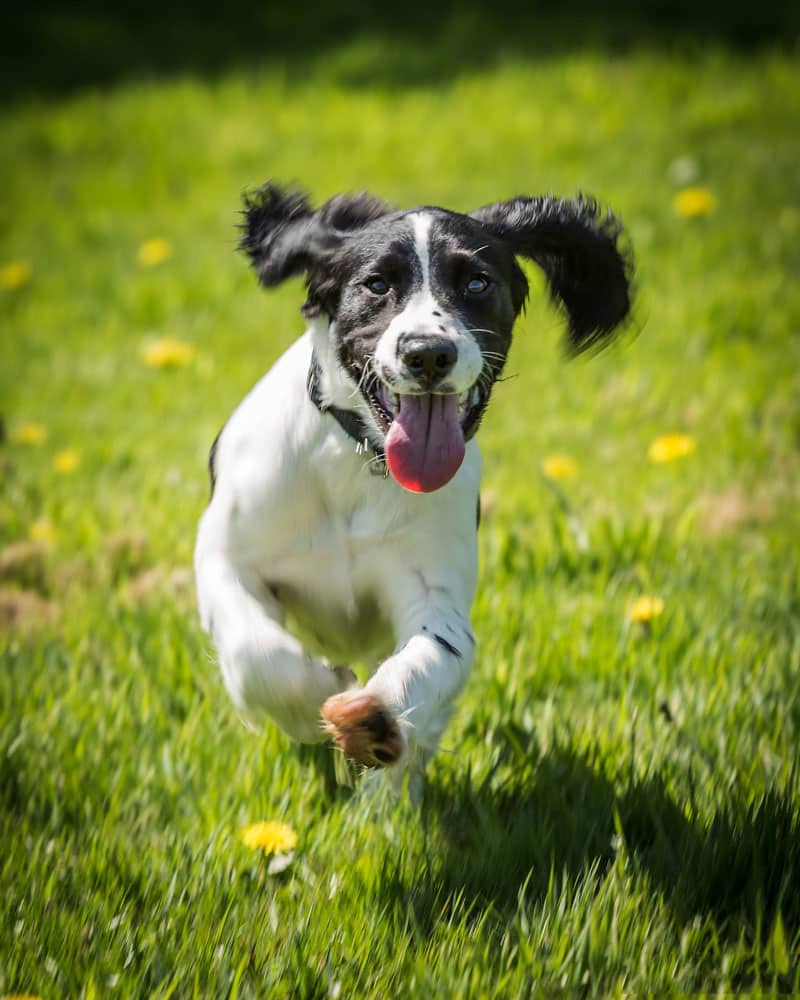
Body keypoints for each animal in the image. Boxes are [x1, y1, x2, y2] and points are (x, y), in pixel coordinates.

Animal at [194, 186, 632, 796]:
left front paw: (371, 719)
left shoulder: (434, 592)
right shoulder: (226, 556)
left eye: (477, 283)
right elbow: (256, 652)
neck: (360, 461)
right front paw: (314, 698)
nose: (427, 353)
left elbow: (431, 657)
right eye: (377, 284)